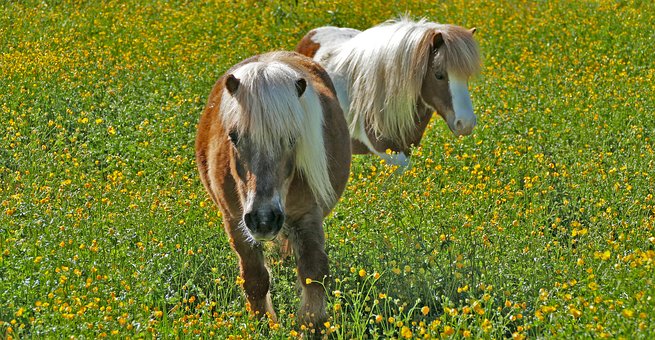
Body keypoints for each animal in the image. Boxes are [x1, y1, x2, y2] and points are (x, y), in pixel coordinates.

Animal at [195, 51, 352, 330]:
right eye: (233, 136)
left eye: (292, 139)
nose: (264, 219)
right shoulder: (235, 221)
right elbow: (255, 279)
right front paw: (263, 323)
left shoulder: (308, 216)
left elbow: (314, 271)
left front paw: (310, 323)